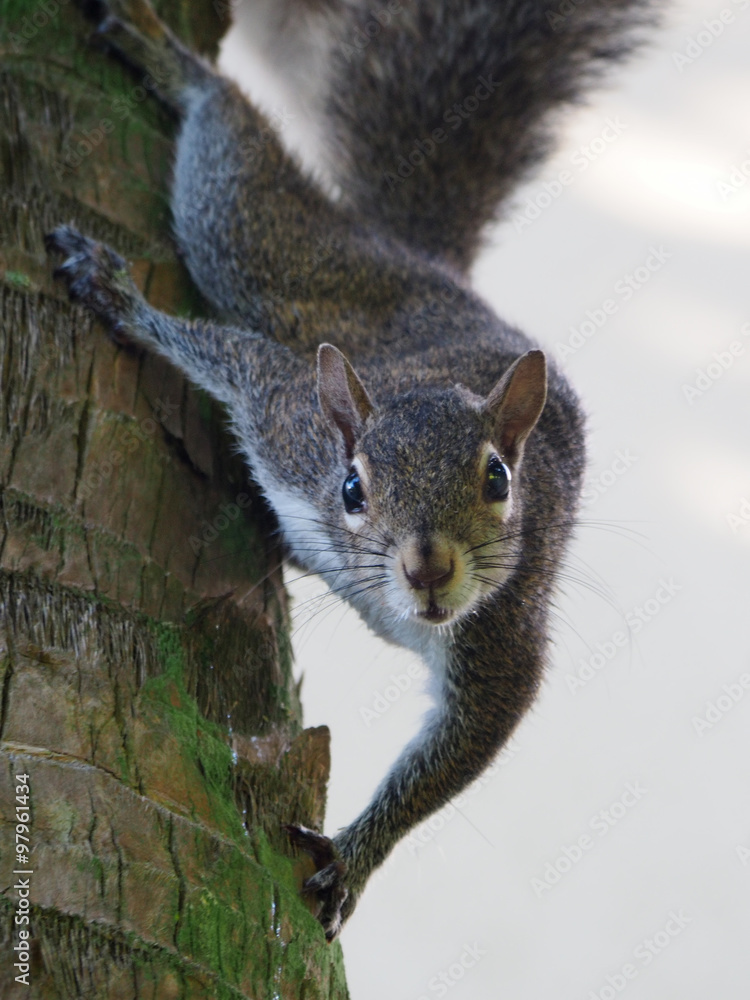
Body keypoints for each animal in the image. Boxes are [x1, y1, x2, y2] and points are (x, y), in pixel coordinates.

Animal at [47, 0, 654, 940]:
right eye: (353, 488)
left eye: (499, 481)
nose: (429, 567)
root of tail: (424, 264)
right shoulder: (285, 414)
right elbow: (228, 353)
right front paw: (122, 297)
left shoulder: (503, 636)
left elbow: (452, 758)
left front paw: (357, 856)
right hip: (280, 261)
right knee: (242, 184)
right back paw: (179, 68)